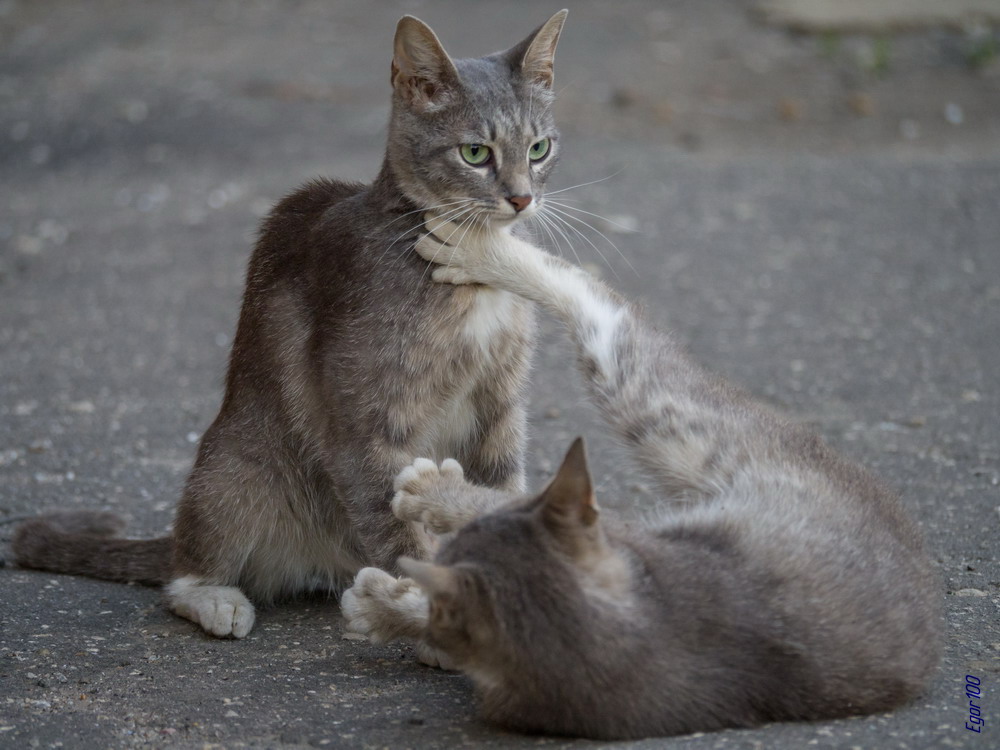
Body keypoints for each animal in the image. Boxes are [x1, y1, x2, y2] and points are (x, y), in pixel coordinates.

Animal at [13, 8, 572, 644]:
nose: (522, 199)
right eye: (475, 152)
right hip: (234, 471)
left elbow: (496, 489)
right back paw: (216, 598)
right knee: (184, 569)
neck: (472, 275)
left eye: (539, 147)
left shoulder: (500, 403)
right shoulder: (367, 425)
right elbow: (399, 529)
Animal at [342, 216, 936, 740]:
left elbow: (479, 513)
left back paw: (477, 250)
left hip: (668, 415)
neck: (642, 628)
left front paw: (390, 591)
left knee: (602, 308)